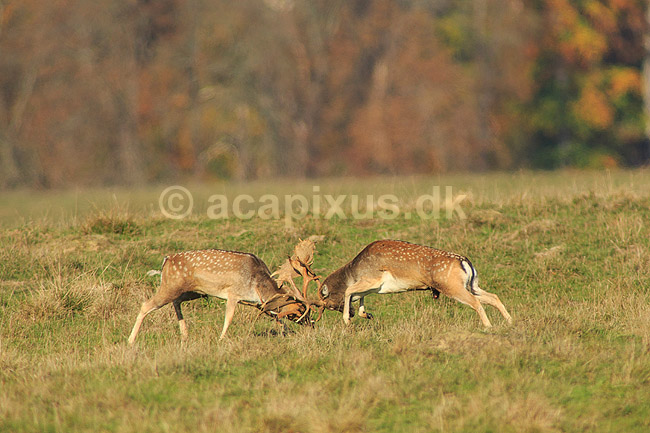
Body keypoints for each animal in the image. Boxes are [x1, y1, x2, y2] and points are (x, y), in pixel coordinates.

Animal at [127, 246, 317, 345]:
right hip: (170, 285)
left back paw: (185, 335)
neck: (258, 284)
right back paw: (131, 340)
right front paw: (221, 339)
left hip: (193, 292)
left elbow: (275, 316)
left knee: (176, 302)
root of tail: (166, 260)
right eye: (301, 312)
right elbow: (229, 318)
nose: (312, 325)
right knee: (146, 305)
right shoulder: (234, 293)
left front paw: (285, 333)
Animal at [316, 240, 512, 327]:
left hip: (452, 286)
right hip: (472, 285)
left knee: (476, 302)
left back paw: (488, 326)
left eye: (328, 305)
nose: (349, 313)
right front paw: (367, 314)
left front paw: (347, 320)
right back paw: (510, 321)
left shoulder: (372, 278)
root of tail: (466, 262)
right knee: (493, 296)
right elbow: (359, 297)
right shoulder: (370, 286)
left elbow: (349, 290)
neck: (354, 271)